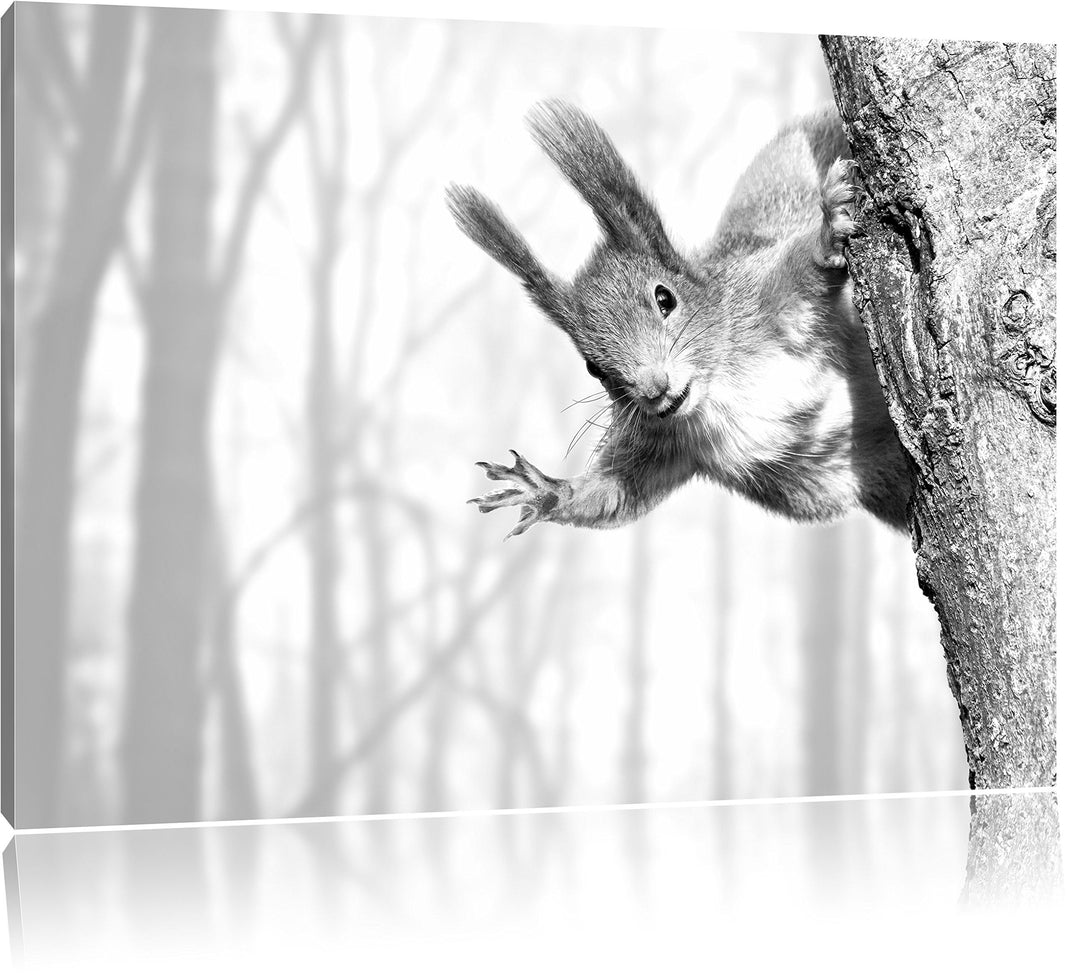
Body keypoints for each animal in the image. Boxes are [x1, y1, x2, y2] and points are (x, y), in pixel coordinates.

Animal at [447, 101, 911, 538]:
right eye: (593, 367)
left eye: (665, 298)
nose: (654, 389)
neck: (716, 391)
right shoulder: (665, 443)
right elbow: (616, 493)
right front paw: (546, 491)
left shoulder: (763, 299)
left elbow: (801, 270)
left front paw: (828, 231)